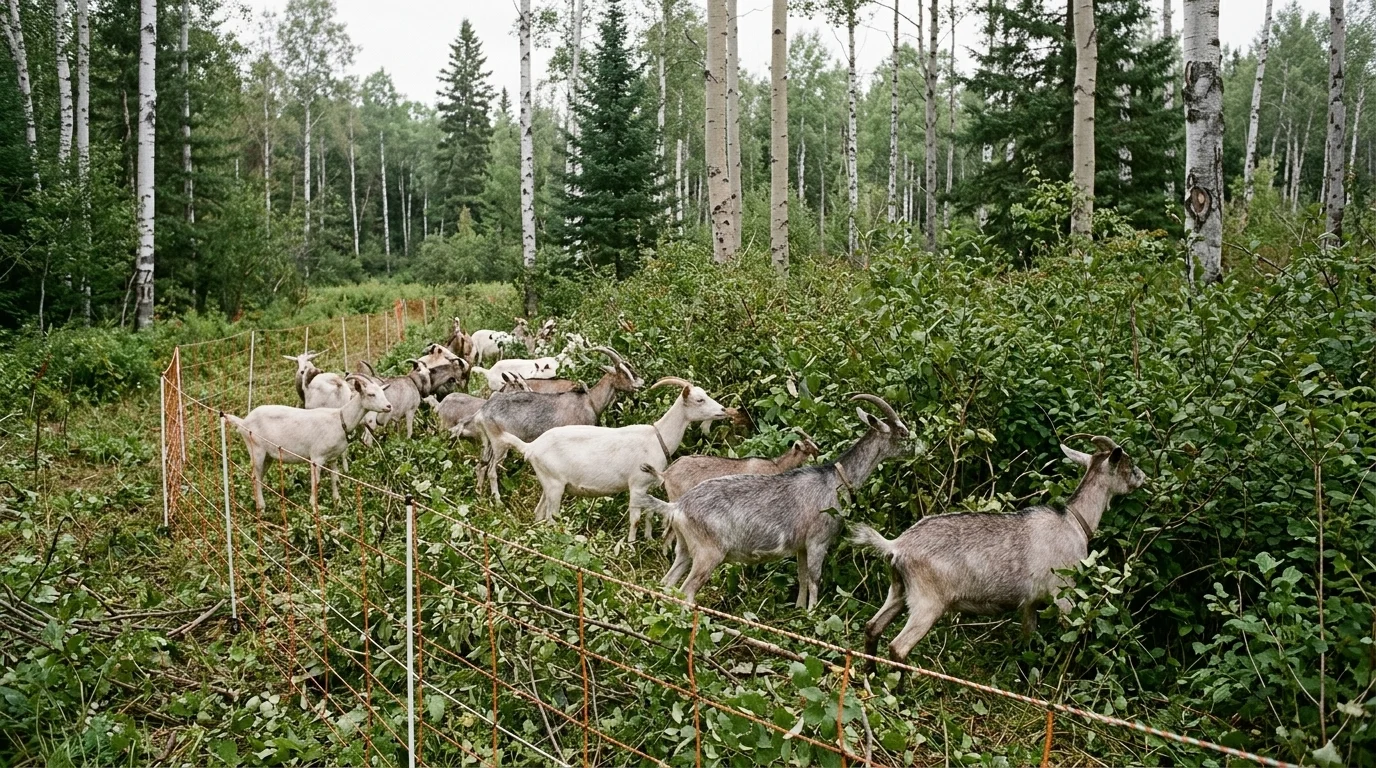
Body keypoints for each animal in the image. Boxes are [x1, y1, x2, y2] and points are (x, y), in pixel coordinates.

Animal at [225, 375, 392, 513]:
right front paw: (314, 507)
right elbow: (316, 481)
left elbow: (334, 478)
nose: (389, 406)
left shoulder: (333, 457)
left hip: (268, 455)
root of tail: (243, 422)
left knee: (258, 475)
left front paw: (337, 502)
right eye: (371, 394)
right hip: (255, 447)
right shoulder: (317, 457)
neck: (339, 420)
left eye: (383, 392)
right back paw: (261, 507)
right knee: (255, 475)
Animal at [472, 347, 642, 500]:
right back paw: (498, 502)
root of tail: (482, 411)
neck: (590, 401)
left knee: (481, 466)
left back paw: (480, 496)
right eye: (623, 373)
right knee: (491, 470)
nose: (640, 384)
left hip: (487, 443)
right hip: (500, 444)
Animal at [492, 377, 728, 542]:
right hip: (555, 485)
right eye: (699, 399)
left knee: (539, 512)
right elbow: (635, 518)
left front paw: (649, 539)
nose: (724, 410)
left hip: (547, 483)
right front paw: (631, 545)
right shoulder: (636, 484)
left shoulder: (648, 486)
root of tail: (531, 447)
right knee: (551, 516)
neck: (656, 437)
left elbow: (650, 513)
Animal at [641, 395, 910, 609]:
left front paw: (800, 611)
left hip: (685, 548)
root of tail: (677, 507)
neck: (834, 480)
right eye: (901, 432)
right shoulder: (817, 541)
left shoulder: (801, 546)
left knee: (668, 582)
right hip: (709, 553)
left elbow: (802, 578)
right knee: (686, 590)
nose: (914, 446)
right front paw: (813, 615)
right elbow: (814, 579)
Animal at [850, 436, 1146, 671]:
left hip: (898, 590)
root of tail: (896, 546)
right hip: (928, 601)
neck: (1073, 522)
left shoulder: (1029, 603)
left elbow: (1028, 641)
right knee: (898, 647)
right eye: (1128, 465)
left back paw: (870, 677)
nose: (1143, 477)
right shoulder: (1062, 593)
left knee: (872, 627)